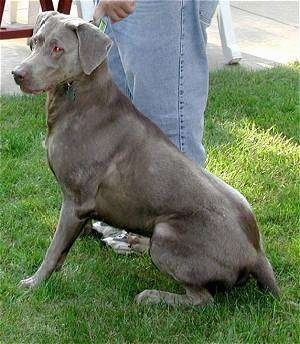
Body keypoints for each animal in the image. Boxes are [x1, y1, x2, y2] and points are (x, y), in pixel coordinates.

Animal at [11, 11, 278, 306]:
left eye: (58, 48)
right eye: (35, 41)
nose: (17, 74)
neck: (81, 97)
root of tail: (257, 254)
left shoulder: (75, 200)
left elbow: (55, 247)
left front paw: (34, 282)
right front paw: (88, 237)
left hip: (165, 234)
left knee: (202, 299)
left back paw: (152, 295)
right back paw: (136, 242)